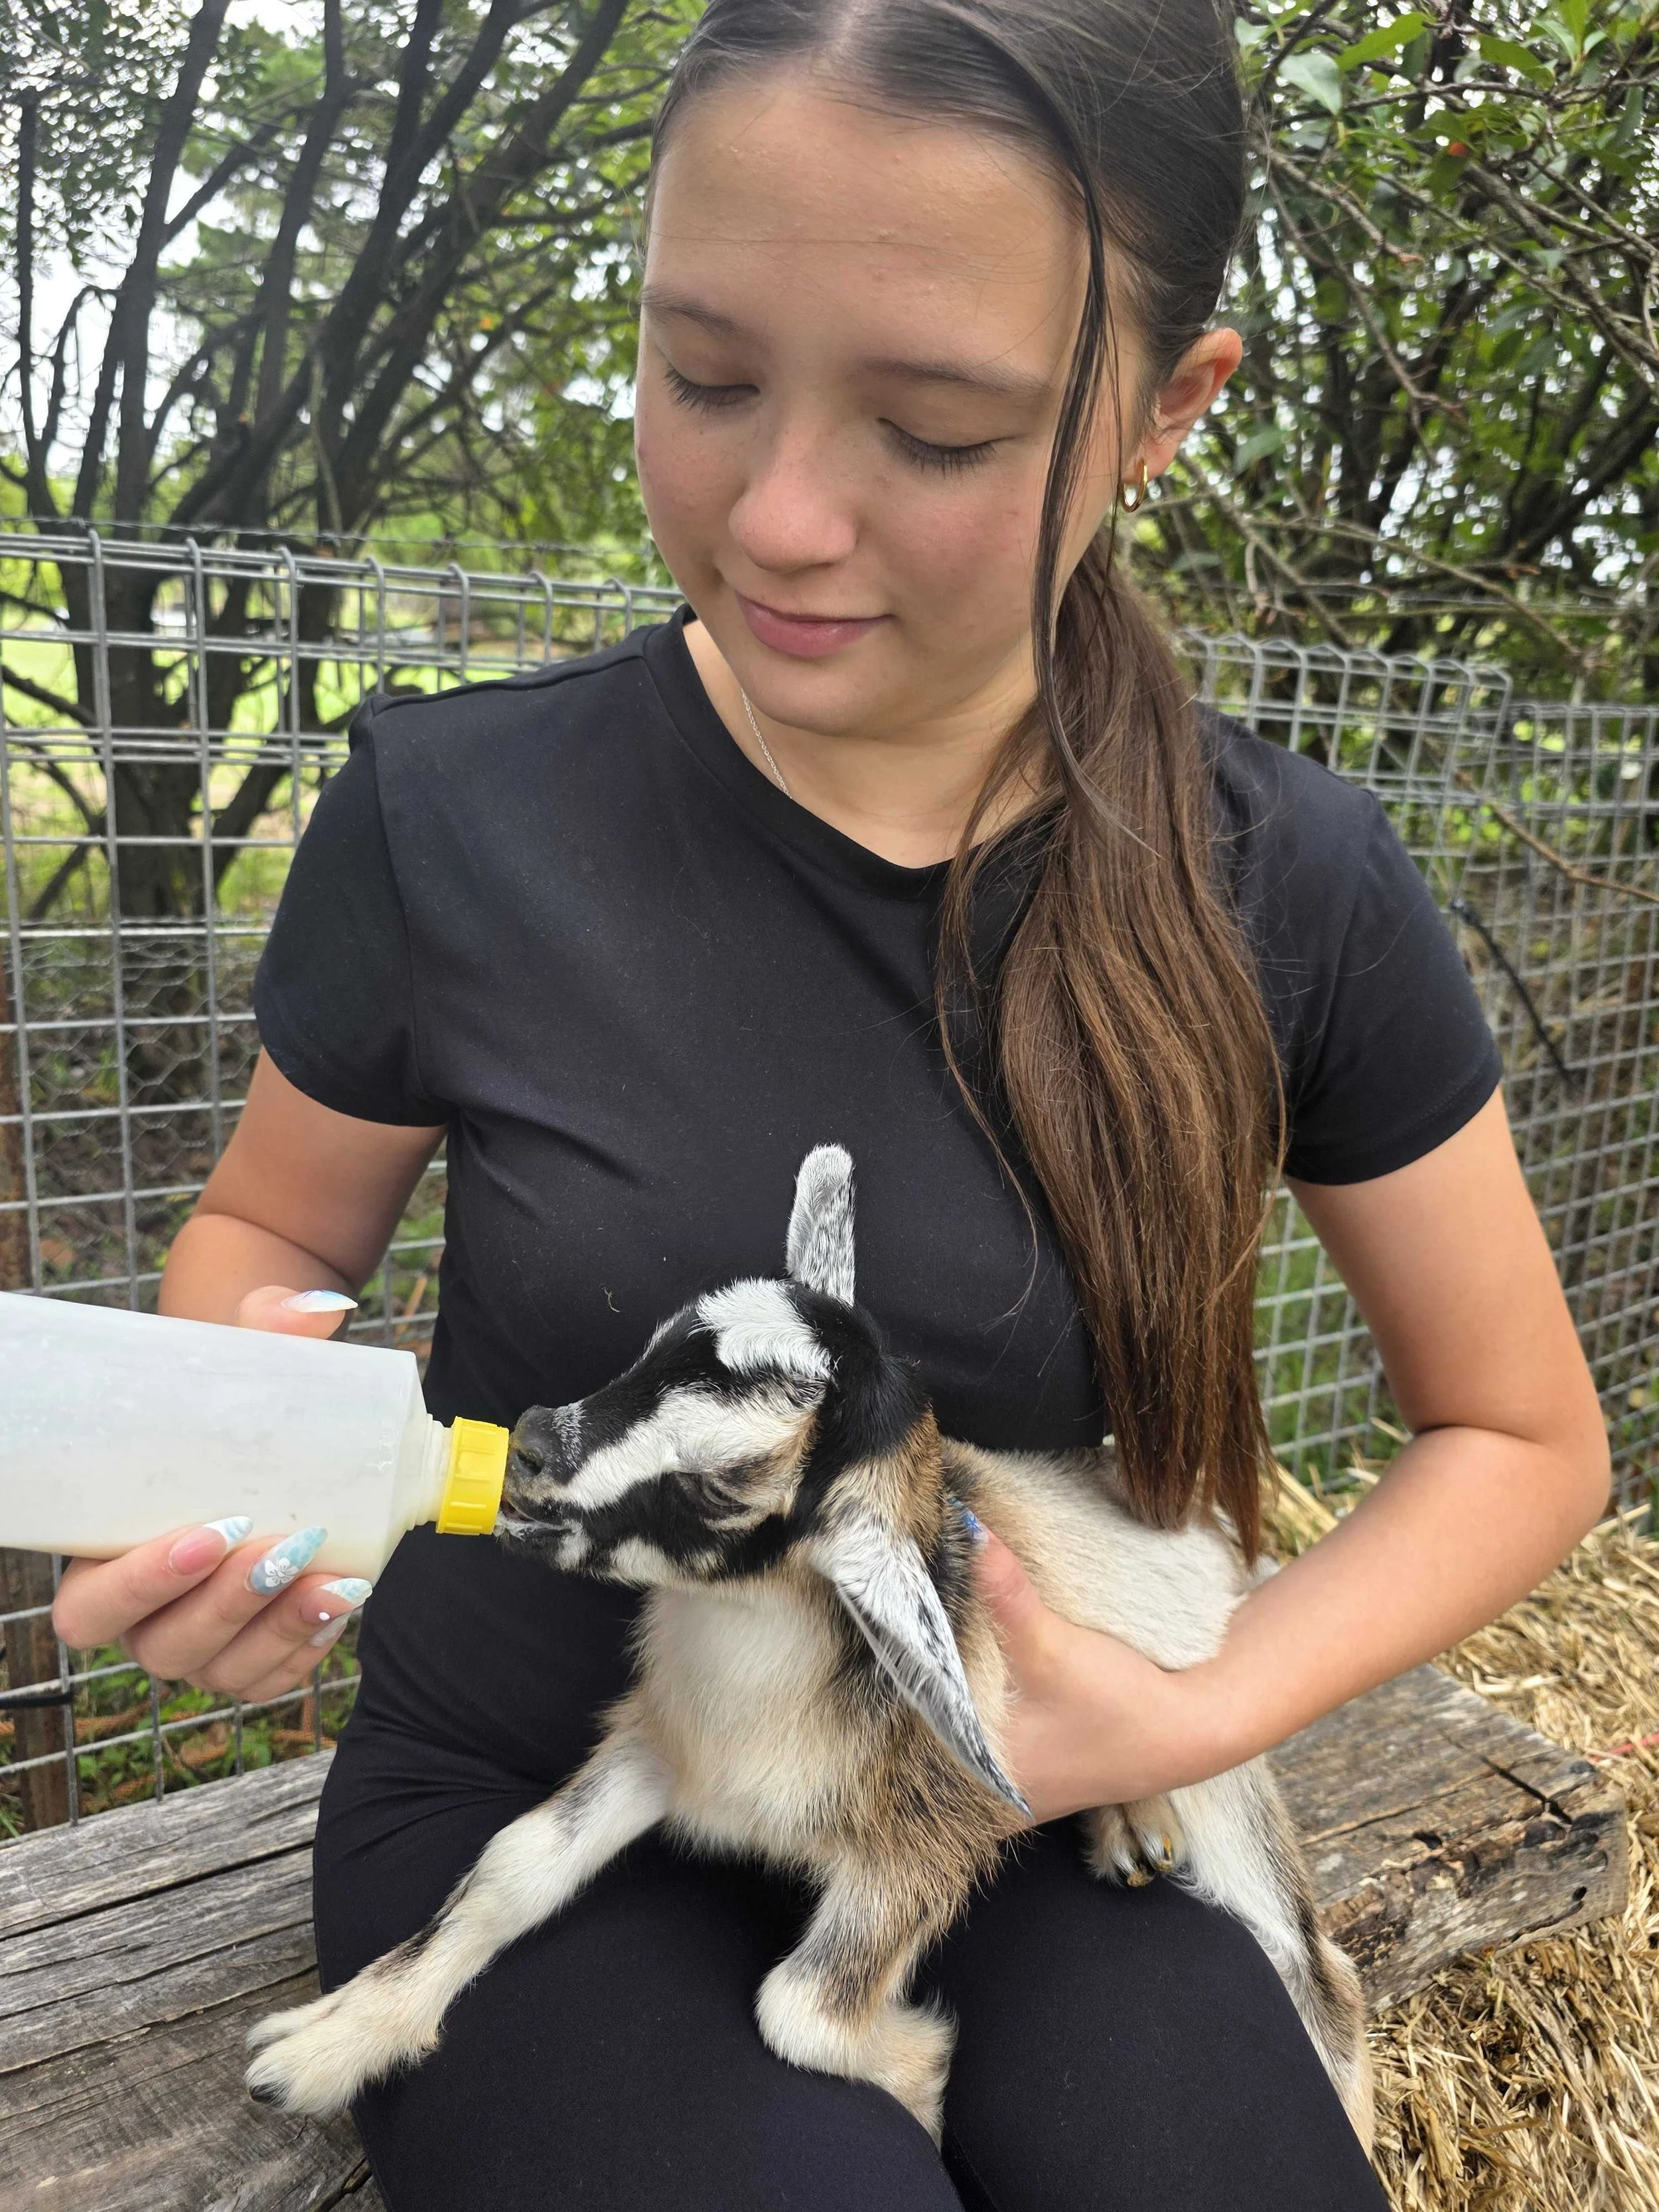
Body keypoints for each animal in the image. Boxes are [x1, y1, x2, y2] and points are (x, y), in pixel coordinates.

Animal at [247, 1144, 1373, 2148]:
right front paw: (327, 2043)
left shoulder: (929, 1837)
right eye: (653, 1345)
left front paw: (920, 2070)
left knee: (1313, 1959)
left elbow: (797, 2008)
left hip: (1226, 1771)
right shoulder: (660, 1749)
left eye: (719, 1485)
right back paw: (1131, 1828)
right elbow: (511, 1866)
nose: (526, 1447)